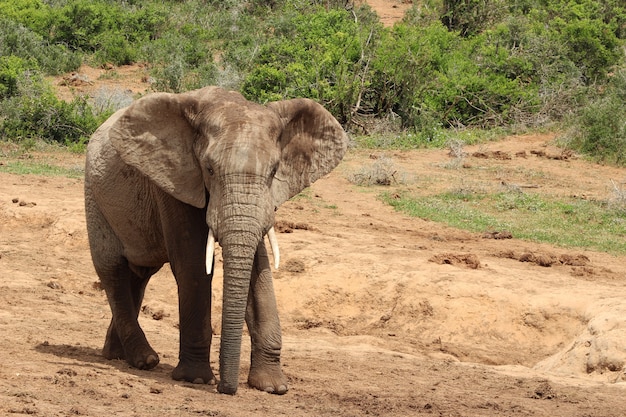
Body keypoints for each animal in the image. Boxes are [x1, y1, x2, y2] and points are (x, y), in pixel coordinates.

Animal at [83, 85, 346, 394]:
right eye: (208, 169)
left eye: (273, 172)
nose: (226, 388)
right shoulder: (175, 181)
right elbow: (194, 266)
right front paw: (195, 379)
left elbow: (258, 270)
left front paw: (272, 387)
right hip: (94, 196)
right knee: (112, 270)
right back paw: (143, 359)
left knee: (139, 274)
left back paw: (117, 355)